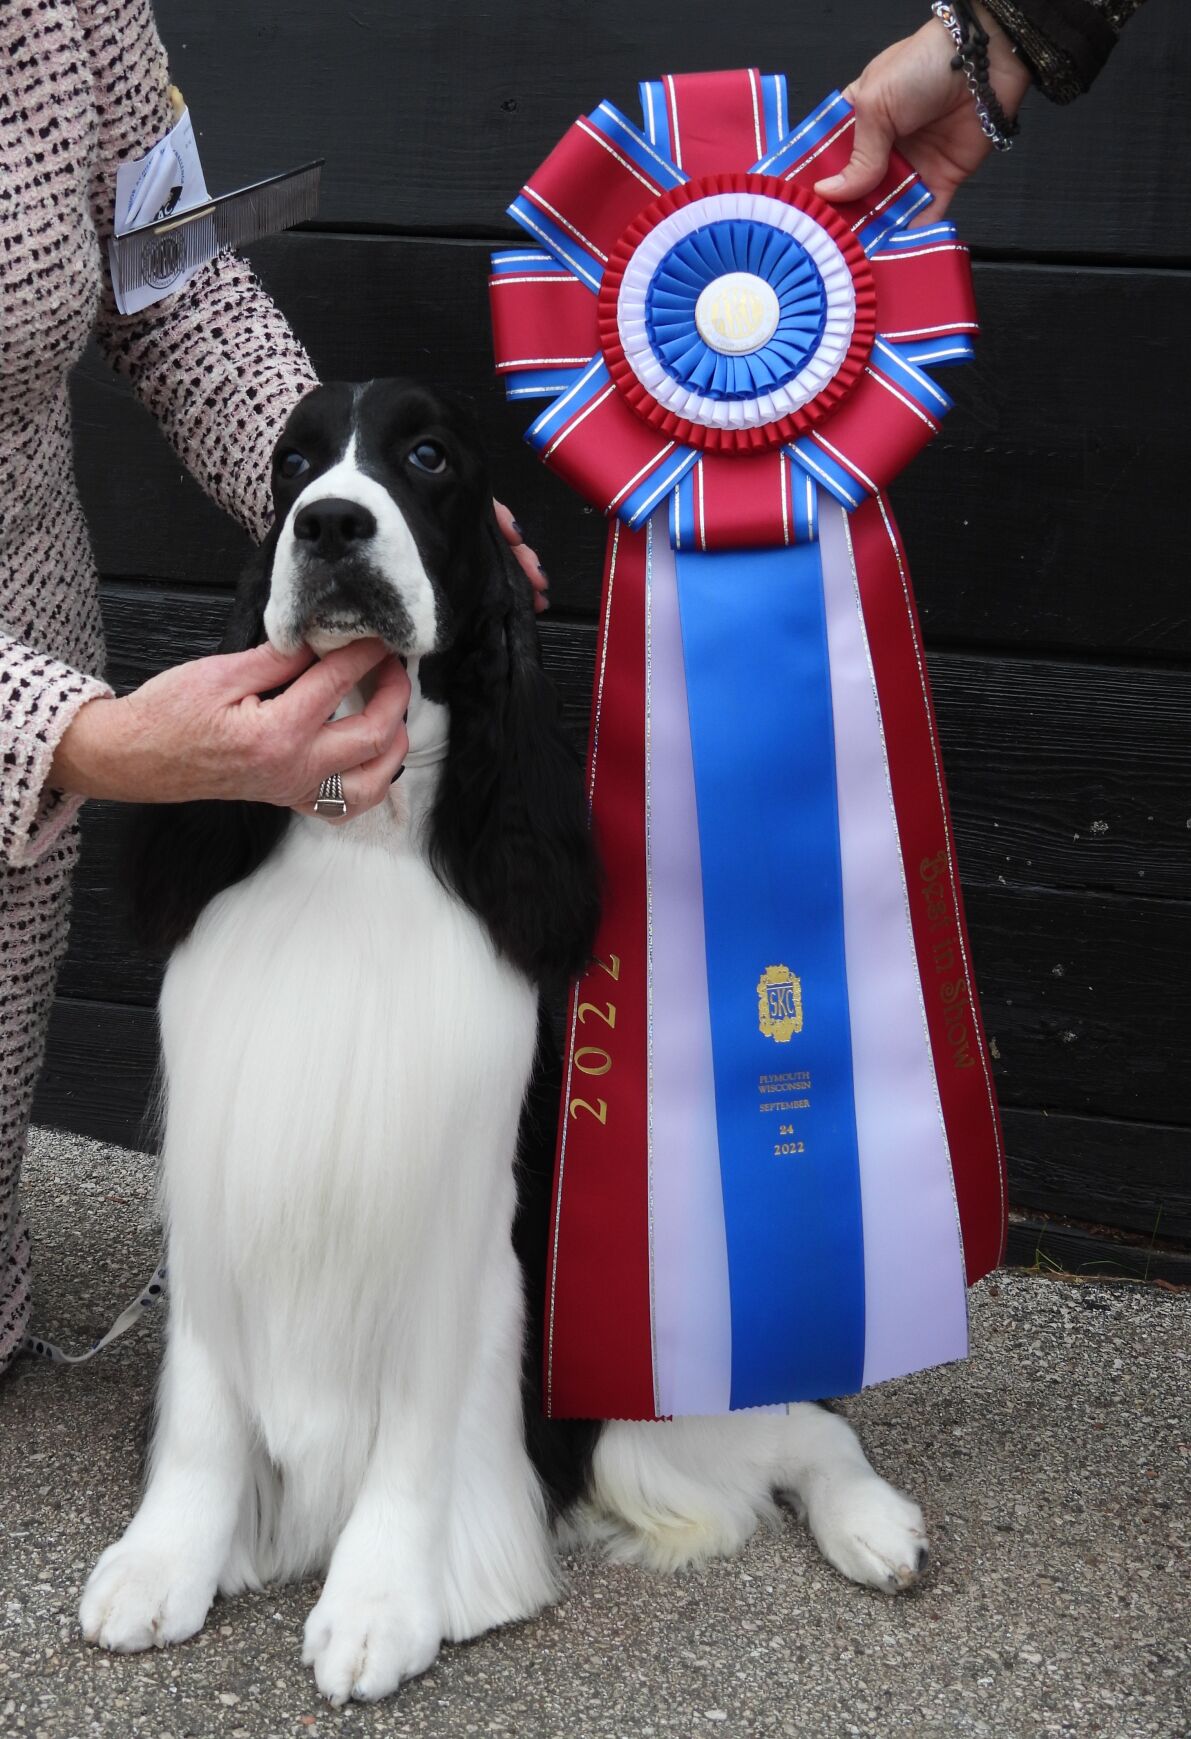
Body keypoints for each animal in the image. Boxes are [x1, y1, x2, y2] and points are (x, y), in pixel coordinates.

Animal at [81, 384, 931, 1711]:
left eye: (429, 456)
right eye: (292, 462)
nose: (332, 524)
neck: (360, 841)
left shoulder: (461, 1221)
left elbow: (419, 1423)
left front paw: (378, 1607)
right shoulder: (222, 1181)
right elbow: (208, 1405)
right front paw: (161, 1563)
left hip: (634, 1379)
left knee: (806, 1421)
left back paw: (877, 1529)